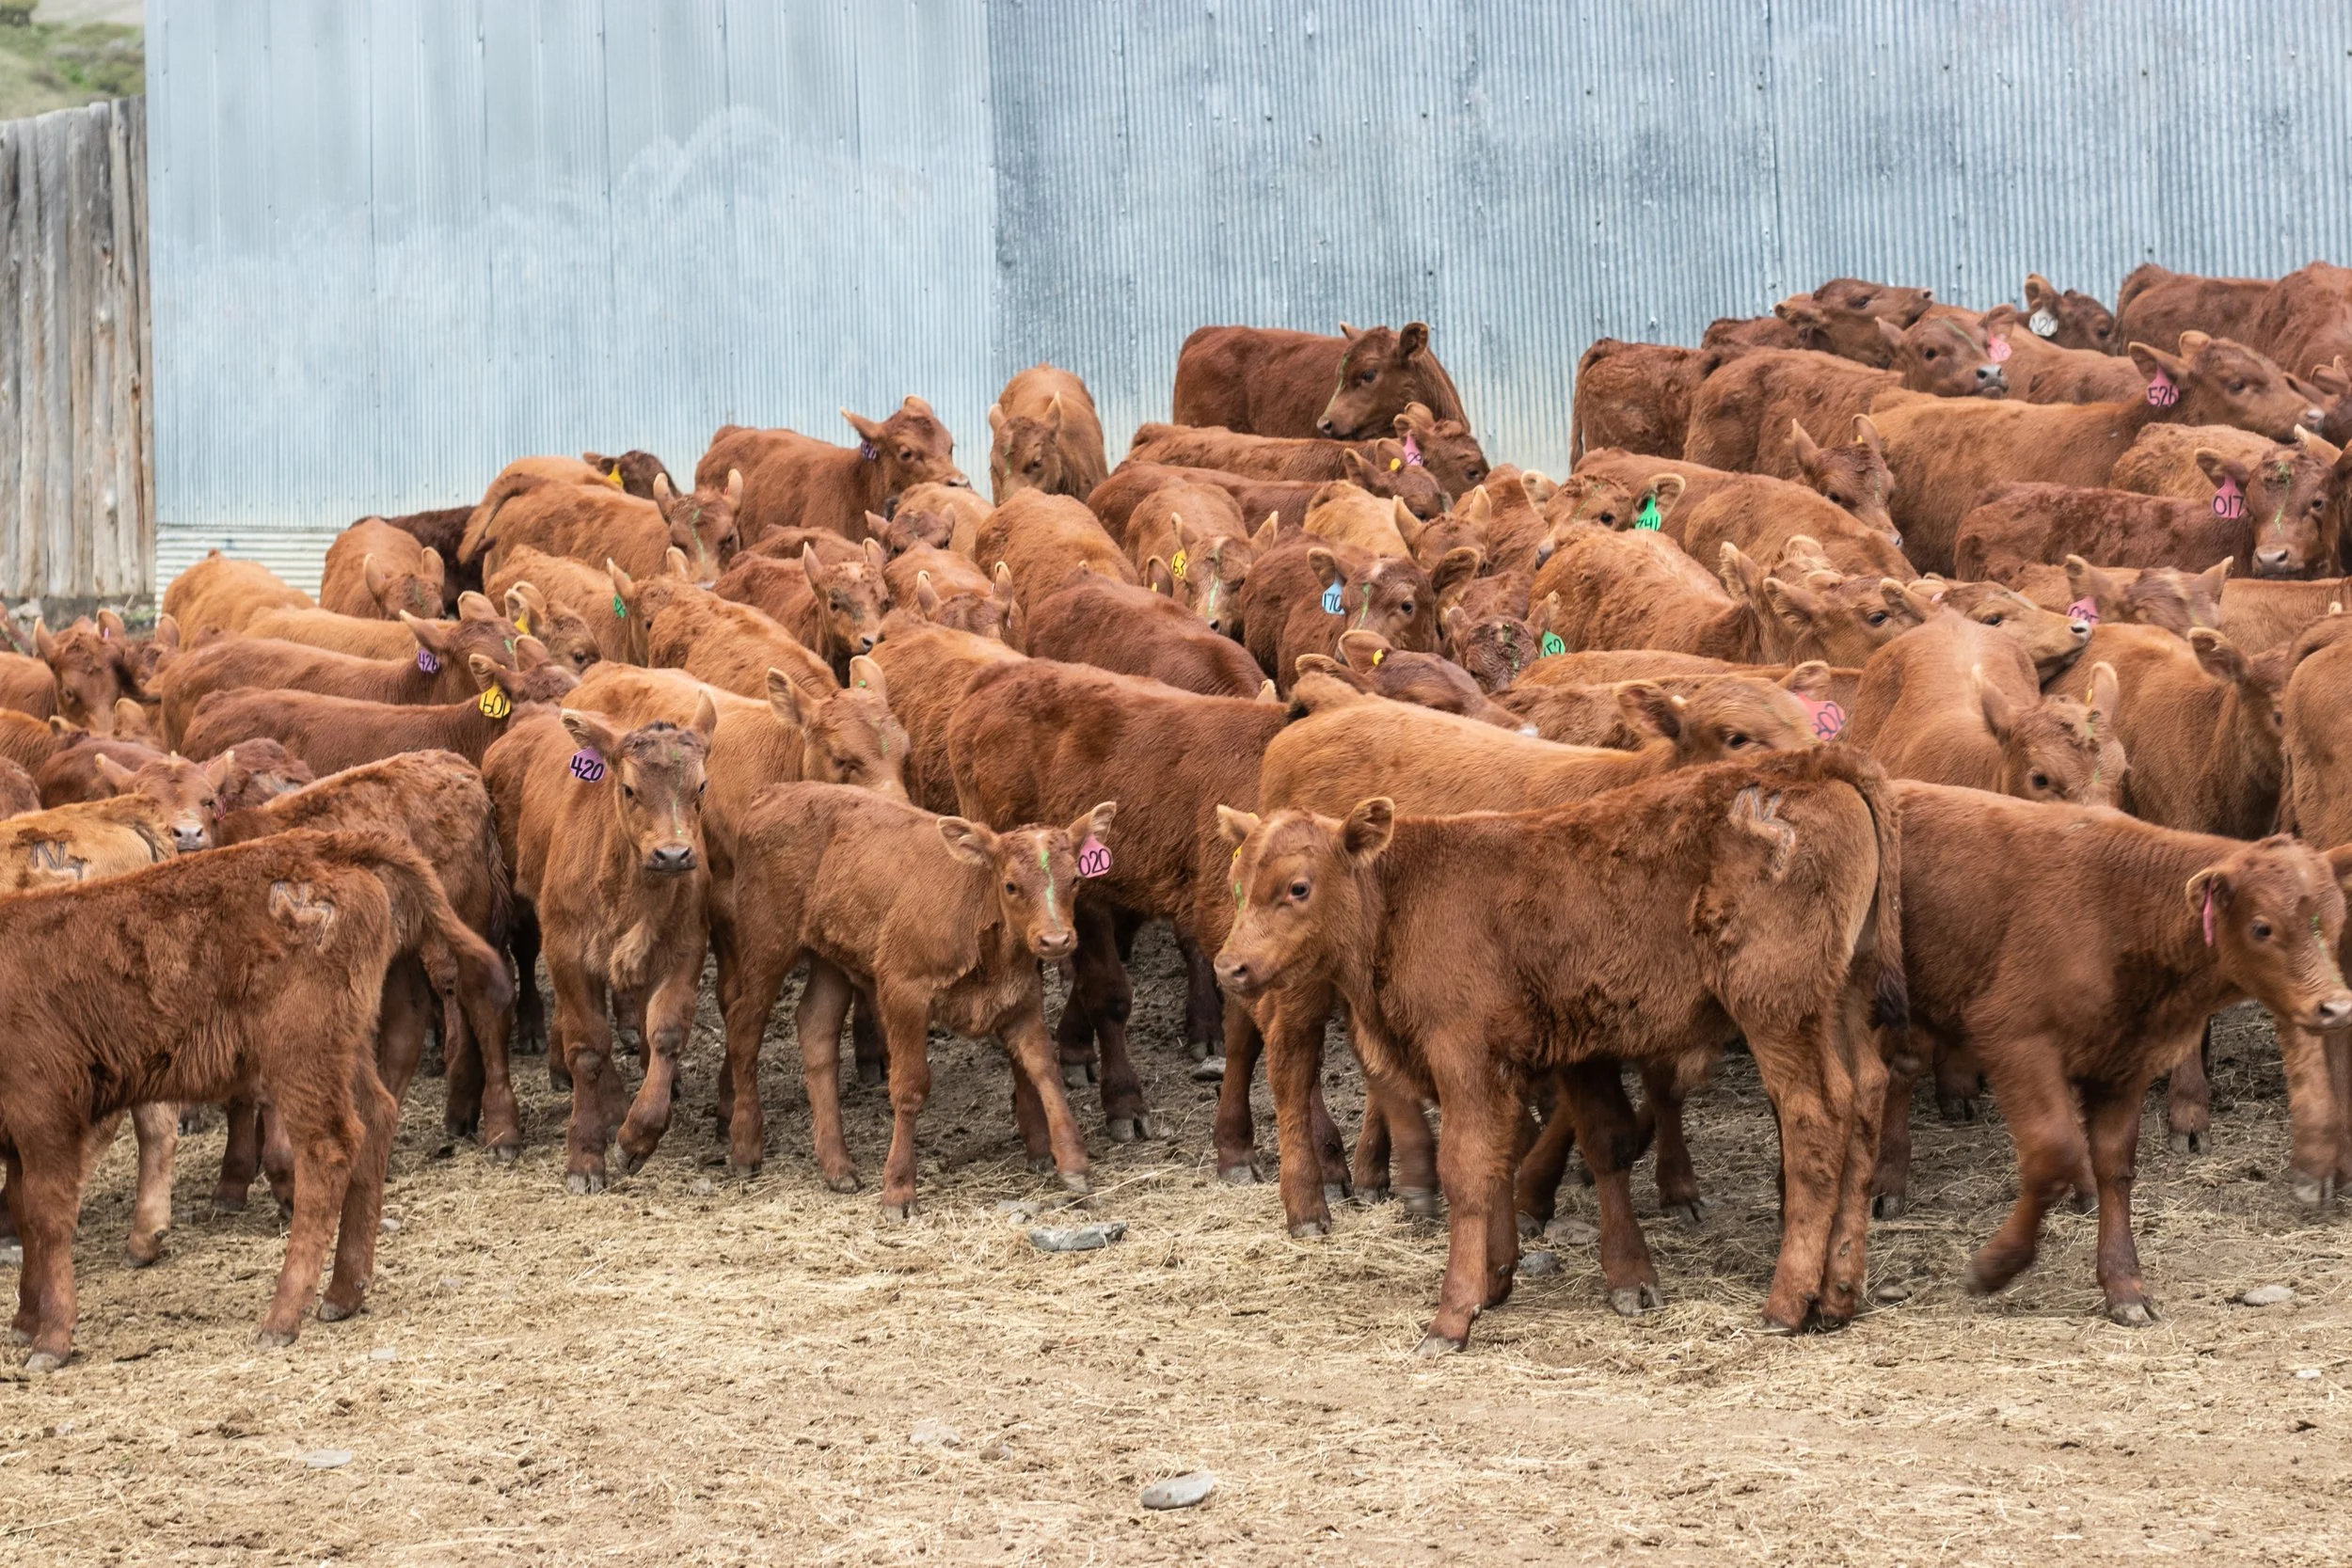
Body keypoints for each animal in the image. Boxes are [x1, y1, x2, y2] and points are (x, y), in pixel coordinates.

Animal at [0, 828, 502, 1368]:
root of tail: (325, 845)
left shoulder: (45, 1116)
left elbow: (47, 1217)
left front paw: (51, 1338)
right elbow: (23, 1214)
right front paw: (25, 1322)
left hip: (300, 1057)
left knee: (329, 1150)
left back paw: (282, 1317)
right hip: (342, 1050)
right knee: (376, 1120)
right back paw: (343, 1294)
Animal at [719, 784, 1109, 1211]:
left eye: (1075, 879)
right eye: (1010, 885)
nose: (1055, 940)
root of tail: (776, 791)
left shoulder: (1020, 1001)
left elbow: (1044, 1070)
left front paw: (1073, 1162)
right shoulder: (902, 991)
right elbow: (910, 1086)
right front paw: (899, 1187)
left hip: (829, 957)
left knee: (816, 1029)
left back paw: (837, 1166)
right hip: (767, 942)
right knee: (744, 1025)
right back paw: (745, 1145)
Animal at [1214, 744, 1903, 1348]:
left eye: (1298, 887)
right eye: (1238, 881)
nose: (1230, 966)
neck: (1404, 891)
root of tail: (1813, 763)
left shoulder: (1464, 1056)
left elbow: (1468, 1167)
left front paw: (1451, 1317)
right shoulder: (1538, 1059)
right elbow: (1527, 1151)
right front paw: (1497, 1279)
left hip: (1777, 1012)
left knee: (1815, 1119)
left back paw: (1787, 1302)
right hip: (1842, 999)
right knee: (1865, 1097)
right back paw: (1837, 1295)